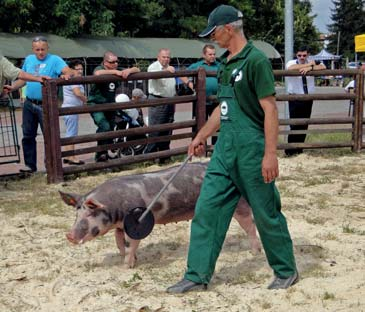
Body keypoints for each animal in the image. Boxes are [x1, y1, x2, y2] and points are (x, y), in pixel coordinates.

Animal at [60, 162, 258, 266]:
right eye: (76, 215)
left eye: (89, 215)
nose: (69, 235)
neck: (113, 206)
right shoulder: (120, 226)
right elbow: (119, 243)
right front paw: (124, 260)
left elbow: (131, 244)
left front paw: (127, 267)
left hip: (241, 205)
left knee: (250, 225)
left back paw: (255, 253)